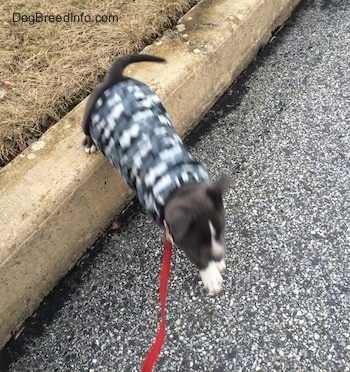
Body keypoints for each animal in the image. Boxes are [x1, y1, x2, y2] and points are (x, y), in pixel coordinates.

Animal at [82, 54, 230, 294]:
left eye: (221, 230)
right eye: (198, 243)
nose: (218, 255)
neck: (180, 181)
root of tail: (116, 80)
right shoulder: (179, 235)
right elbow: (195, 256)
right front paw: (210, 275)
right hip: (88, 115)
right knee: (86, 130)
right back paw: (89, 144)